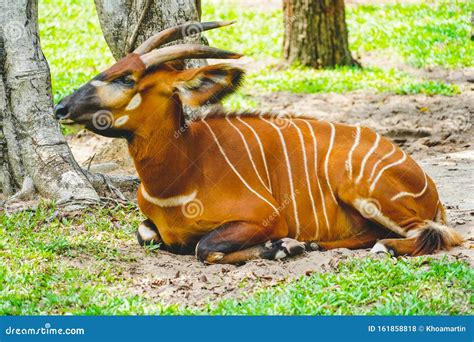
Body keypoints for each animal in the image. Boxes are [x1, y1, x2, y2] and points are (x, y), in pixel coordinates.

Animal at [53, 22, 462, 264]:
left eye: (127, 79)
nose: (61, 107)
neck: (181, 176)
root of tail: (429, 185)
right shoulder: (150, 228)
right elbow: (145, 235)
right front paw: (291, 245)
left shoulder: (265, 216)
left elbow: (205, 248)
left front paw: (281, 246)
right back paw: (313, 244)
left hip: (364, 191)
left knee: (437, 233)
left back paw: (379, 247)